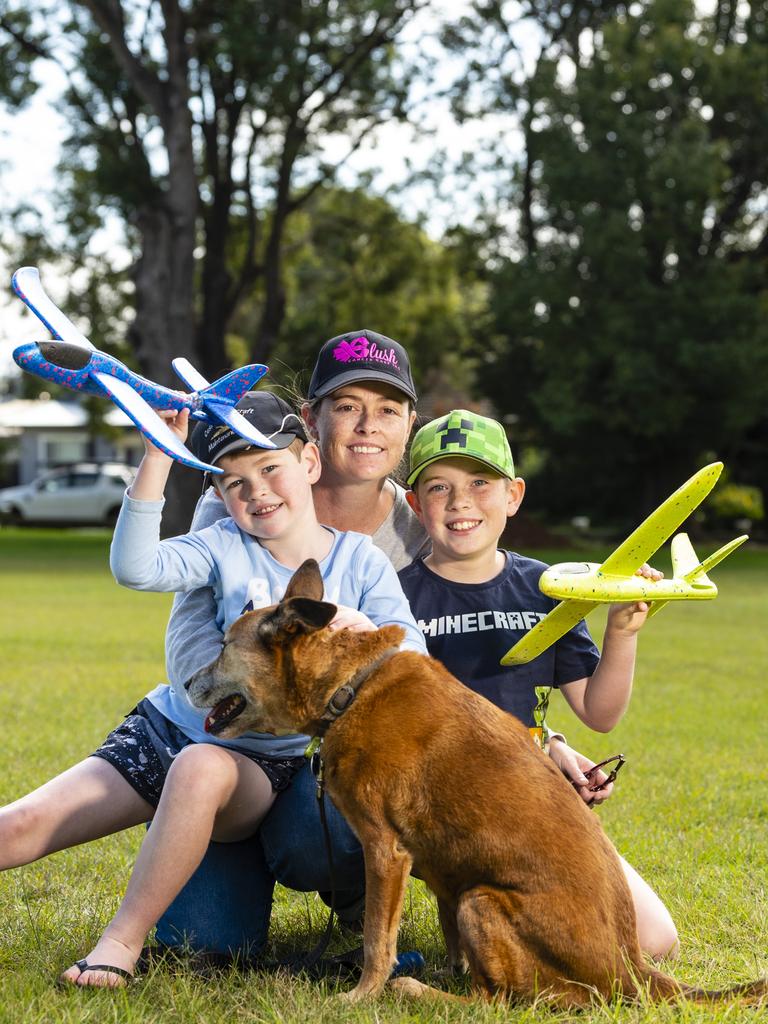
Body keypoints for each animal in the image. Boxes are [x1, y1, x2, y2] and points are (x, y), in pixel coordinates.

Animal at [188, 561, 768, 1007]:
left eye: (224, 645)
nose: (189, 680)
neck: (351, 689)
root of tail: (631, 969)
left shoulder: (385, 851)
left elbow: (377, 940)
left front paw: (361, 996)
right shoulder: (437, 868)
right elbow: (443, 941)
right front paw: (441, 968)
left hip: (482, 900)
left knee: (511, 1001)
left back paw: (415, 991)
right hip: (470, 891)